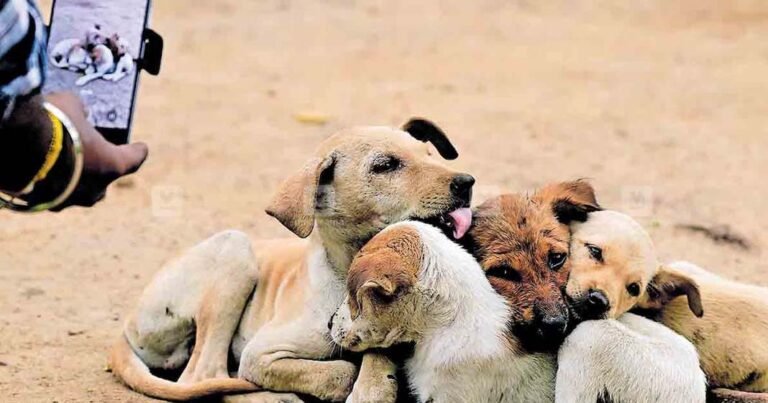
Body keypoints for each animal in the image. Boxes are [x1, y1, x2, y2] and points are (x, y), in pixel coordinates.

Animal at [109, 119, 476, 402]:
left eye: (429, 154)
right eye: (384, 166)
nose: (466, 182)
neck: (342, 271)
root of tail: (128, 323)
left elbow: (374, 349)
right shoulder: (262, 354)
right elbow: (341, 371)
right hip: (235, 249)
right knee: (205, 376)